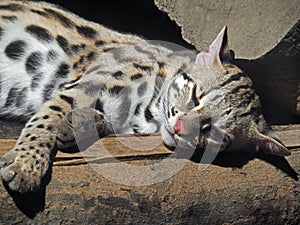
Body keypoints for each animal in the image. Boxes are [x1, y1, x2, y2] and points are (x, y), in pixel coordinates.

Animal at [0, 0, 290, 193]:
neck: (146, 114)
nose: (180, 128)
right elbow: (46, 119)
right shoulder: (87, 83)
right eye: (196, 96)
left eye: (217, 133)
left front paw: (80, 124)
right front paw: (27, 163)